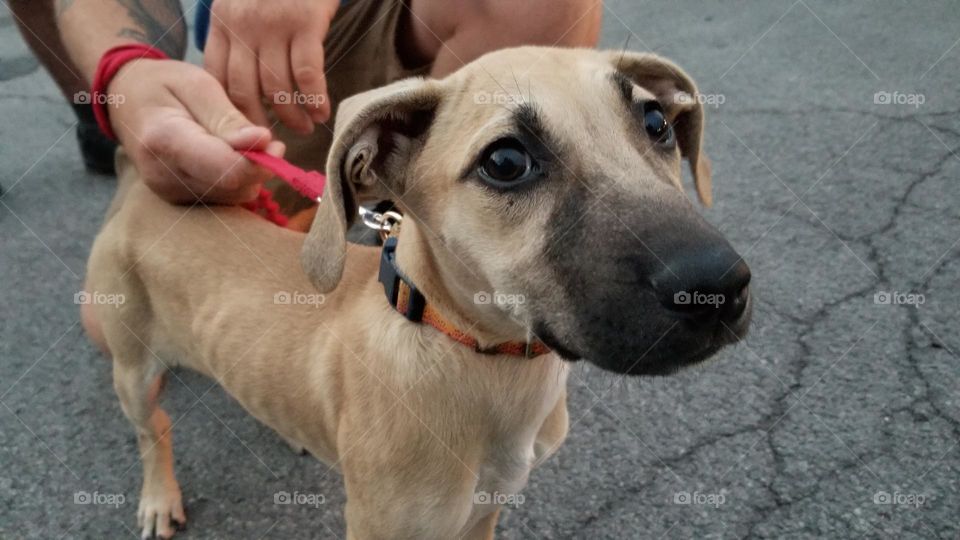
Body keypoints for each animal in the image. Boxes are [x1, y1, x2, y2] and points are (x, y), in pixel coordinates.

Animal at [84, 47, 752, 540]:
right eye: (505, 161)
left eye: (656, 124)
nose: (719, 286)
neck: (469, 351)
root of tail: (138, 189)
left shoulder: (484, 513)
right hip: (130, 367)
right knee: (152, 428)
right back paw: (158, 496)